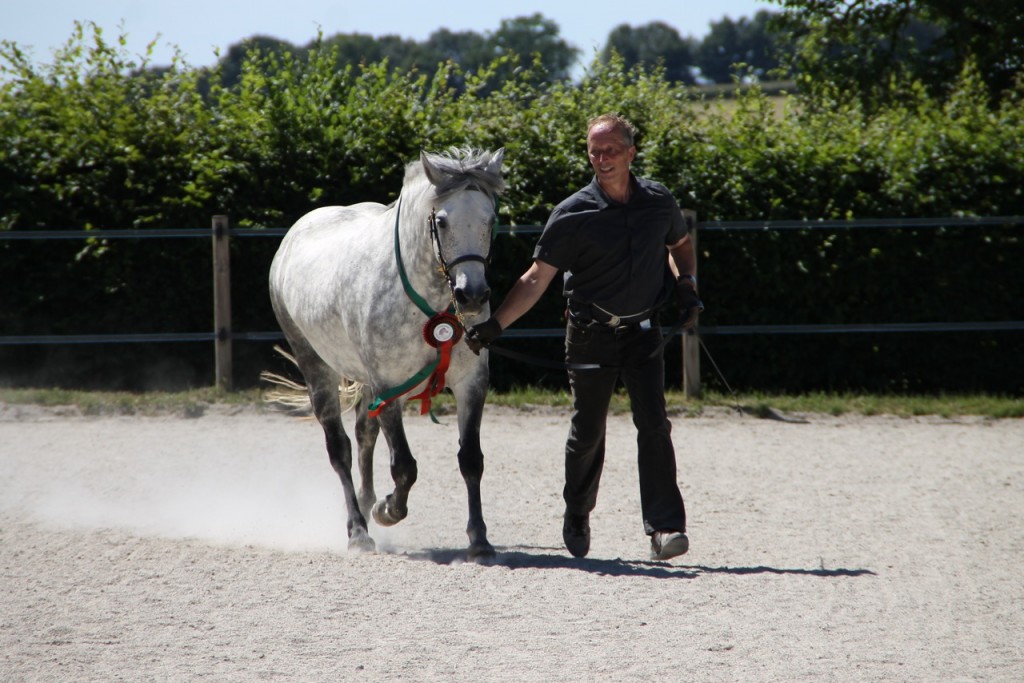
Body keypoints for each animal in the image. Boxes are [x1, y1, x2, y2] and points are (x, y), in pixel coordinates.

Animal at [268, 149, 503, 561]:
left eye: (490, 220)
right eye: (441, 221)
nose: (472, 296)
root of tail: (293, 236)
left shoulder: (471, 384)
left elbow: (471, 460)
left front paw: (479, 542)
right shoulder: (390, 386)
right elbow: (405, 467)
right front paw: (388, 510)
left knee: (364, 434)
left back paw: (365, 503)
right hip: (316, 367)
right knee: (340, 449)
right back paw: (359, 530)